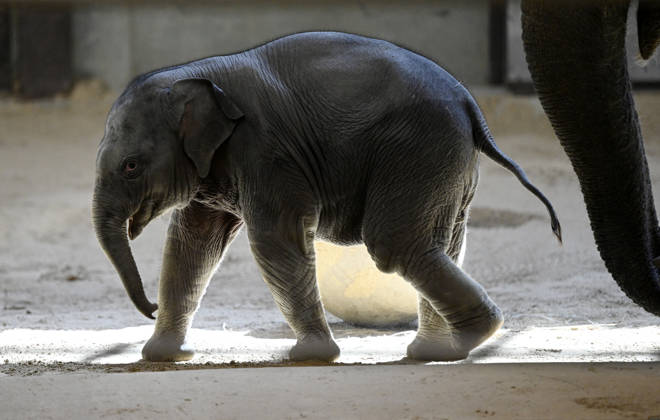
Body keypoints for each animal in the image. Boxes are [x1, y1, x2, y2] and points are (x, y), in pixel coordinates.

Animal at [93, 31, 561, 362]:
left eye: (131, 166)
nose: (150, 307)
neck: (197, 73)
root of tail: (471, 105)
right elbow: (191, 247)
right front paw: (164, 356)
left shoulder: (267, 155)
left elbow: (275, 242)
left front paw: (310, 356)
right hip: (445, 165)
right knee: (443, 242)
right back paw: (435, 352)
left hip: (418, 152)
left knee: (396, 243)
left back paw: (472, 338)